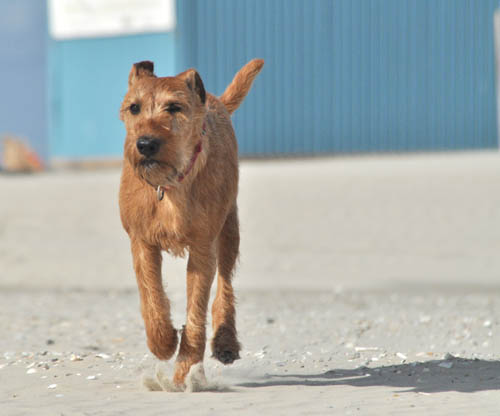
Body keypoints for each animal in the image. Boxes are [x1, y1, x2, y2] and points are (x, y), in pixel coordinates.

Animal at [119, 58, 264, 386]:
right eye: (134, 107)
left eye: (174, 107)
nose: (146, 144)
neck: (171, 185)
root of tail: (214, 99)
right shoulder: (141, 242)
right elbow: (152, 295)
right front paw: (162, 341)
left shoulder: (202, 249)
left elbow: (197, 309)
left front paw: (185, 370)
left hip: (228, 231)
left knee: (225, 285)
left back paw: (225, 342)